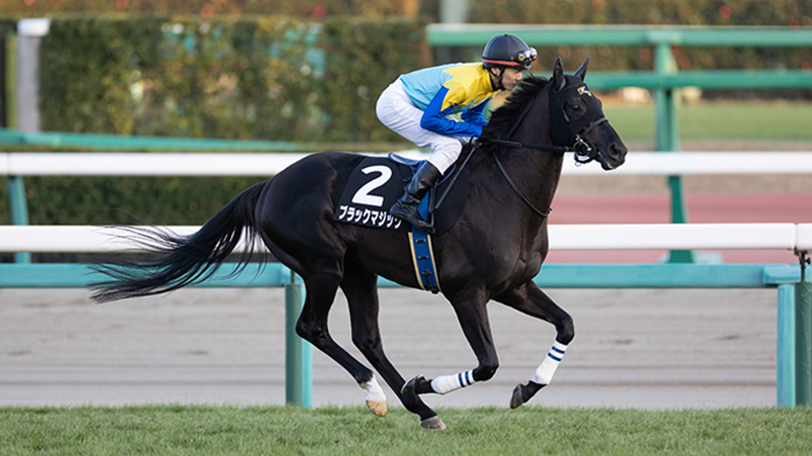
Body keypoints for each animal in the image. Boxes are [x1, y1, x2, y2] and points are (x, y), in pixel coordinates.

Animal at [91, 57, 627, 430]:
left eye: (600, 103)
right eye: (575, 105)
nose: (618, 151)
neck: (504, 190)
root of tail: (270, 184)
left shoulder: (514, 286)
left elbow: (566, 325)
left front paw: (527, 389)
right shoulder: (467, 292)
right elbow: (488, 364)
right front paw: (427, 380)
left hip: (359, 270)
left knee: (367, 337)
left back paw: (418, 407)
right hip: (322, 265)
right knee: (311, 327)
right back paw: (384, 395)